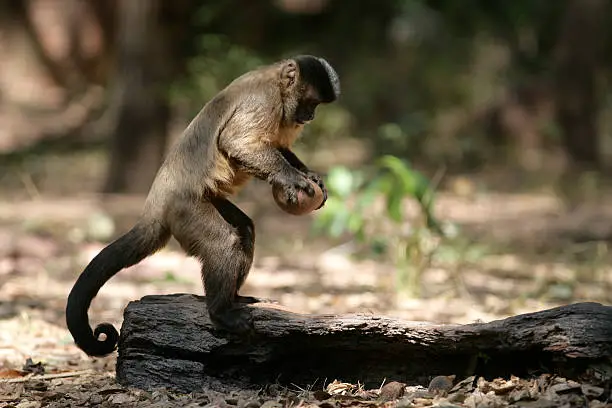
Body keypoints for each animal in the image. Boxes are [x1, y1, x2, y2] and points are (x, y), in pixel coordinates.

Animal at [67, 55, 344, 356]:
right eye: (310, 103)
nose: (311, 116)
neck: (277, 82)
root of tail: (155, 204)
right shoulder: (265, 99)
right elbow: (237, 142)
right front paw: (290, 177)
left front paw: (310, 175)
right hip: (182, 209)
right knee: (223, 241)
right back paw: (221, 313)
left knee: (244, 229)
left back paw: (236, 297)